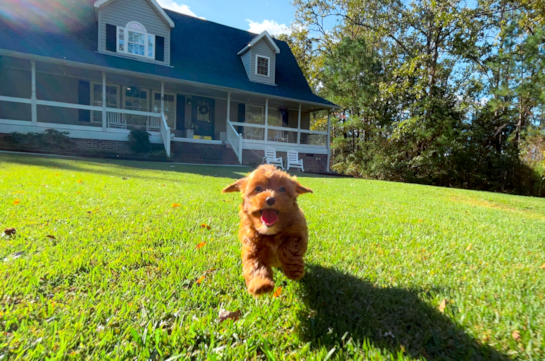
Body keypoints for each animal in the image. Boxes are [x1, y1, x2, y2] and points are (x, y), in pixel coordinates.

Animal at [221, 165, 312, 294]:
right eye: (258, 188)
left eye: (282, 189)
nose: (270, 199)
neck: (270, 232)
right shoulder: (251, 245)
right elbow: (255, 264)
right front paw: (260, 284)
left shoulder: (298, 233)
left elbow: (289, 248)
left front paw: (294, 271)